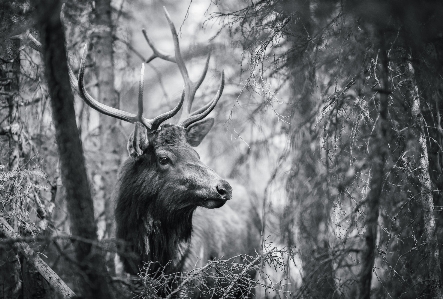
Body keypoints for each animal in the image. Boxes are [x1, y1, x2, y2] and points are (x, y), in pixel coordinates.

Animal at [76, 5, 260, 296]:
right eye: (163, 158)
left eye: (197, 155)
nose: (224, 187)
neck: (154, 262)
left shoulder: (194, 284)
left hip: (249, 278)